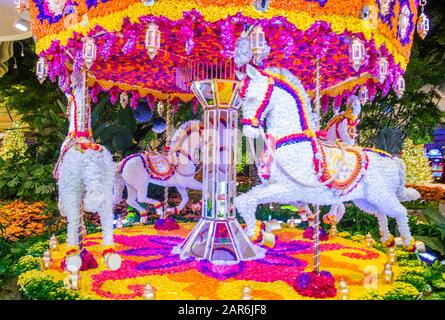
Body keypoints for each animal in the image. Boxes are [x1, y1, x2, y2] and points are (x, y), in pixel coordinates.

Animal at [234, 64, 418, 245]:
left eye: (252, 98)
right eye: (242, 98)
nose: (248, 129)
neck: (290, 141)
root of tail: (393, 160)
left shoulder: (287, 189)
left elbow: (249, 200)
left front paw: (254, 233)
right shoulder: (274, 187)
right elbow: (243, 200)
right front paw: (253, 233)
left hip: (382, 195)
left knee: (400, 211)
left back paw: (407, 244)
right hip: (367, 199)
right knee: (381, 213)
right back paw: (387, 240)